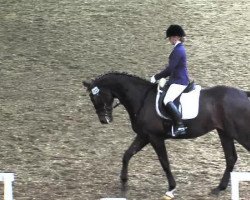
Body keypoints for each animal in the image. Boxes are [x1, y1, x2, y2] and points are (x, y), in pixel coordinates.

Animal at [82, 72, 250, 198]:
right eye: (90, 97)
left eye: (95, 97)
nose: (104, 120)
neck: (142, 99)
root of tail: (243, 94)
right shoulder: (144, 136)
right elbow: (127, 154)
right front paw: (123, 182)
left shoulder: (155, 138)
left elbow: (164, 162)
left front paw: (171, 187)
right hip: (224, 133)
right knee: (231, 158)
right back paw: (219, 188)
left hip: (239, 133)